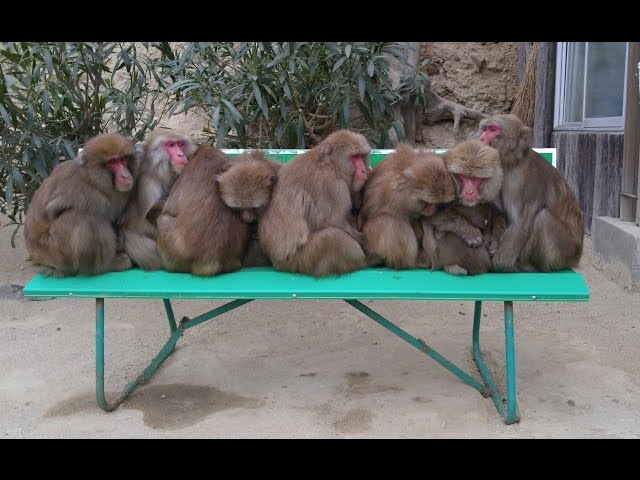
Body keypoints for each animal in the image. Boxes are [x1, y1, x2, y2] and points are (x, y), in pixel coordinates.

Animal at [23, 133, 140, 277]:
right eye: (112, 162)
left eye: (123, 160)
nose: (125, 175)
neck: (94, 180)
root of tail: (36, 257)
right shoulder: (86, 194)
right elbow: (52, 210)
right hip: (56, 252)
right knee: (83, 217)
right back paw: (104, 267)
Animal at [258, 129, 371, 277]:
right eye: (355, 157)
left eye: (362, 156)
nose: (364, 170)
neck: (332, 165)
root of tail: (275, 262)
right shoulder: (334, 186)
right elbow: (336, 222)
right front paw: (364, 241)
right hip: (300, 260)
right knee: (332, 237)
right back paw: (367, 262)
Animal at [474, 114, 584, 272]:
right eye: (485, 129)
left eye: (493, 129)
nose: (481, 138)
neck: (514, 160)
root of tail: (577, 257)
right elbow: (501, 211)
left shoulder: (521, 183)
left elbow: (520, 225)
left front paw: (500, 265)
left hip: (564, 252)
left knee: (543, 218)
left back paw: (529, 266)